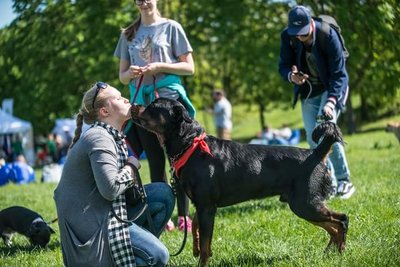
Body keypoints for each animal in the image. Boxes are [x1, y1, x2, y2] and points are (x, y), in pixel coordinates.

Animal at [132, 99, 350, 267]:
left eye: (152, 105)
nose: (134, 104)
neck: (191, 145)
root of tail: (315, 154)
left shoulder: (207, 206)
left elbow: (205, 243)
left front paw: (201, 259)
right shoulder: (201, 205)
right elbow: (196, 229)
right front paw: (195, 248)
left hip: (305, 203)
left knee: (341, 220)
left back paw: (340, 252)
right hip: (304, 204)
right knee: (332, 226)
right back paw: (330, 253)